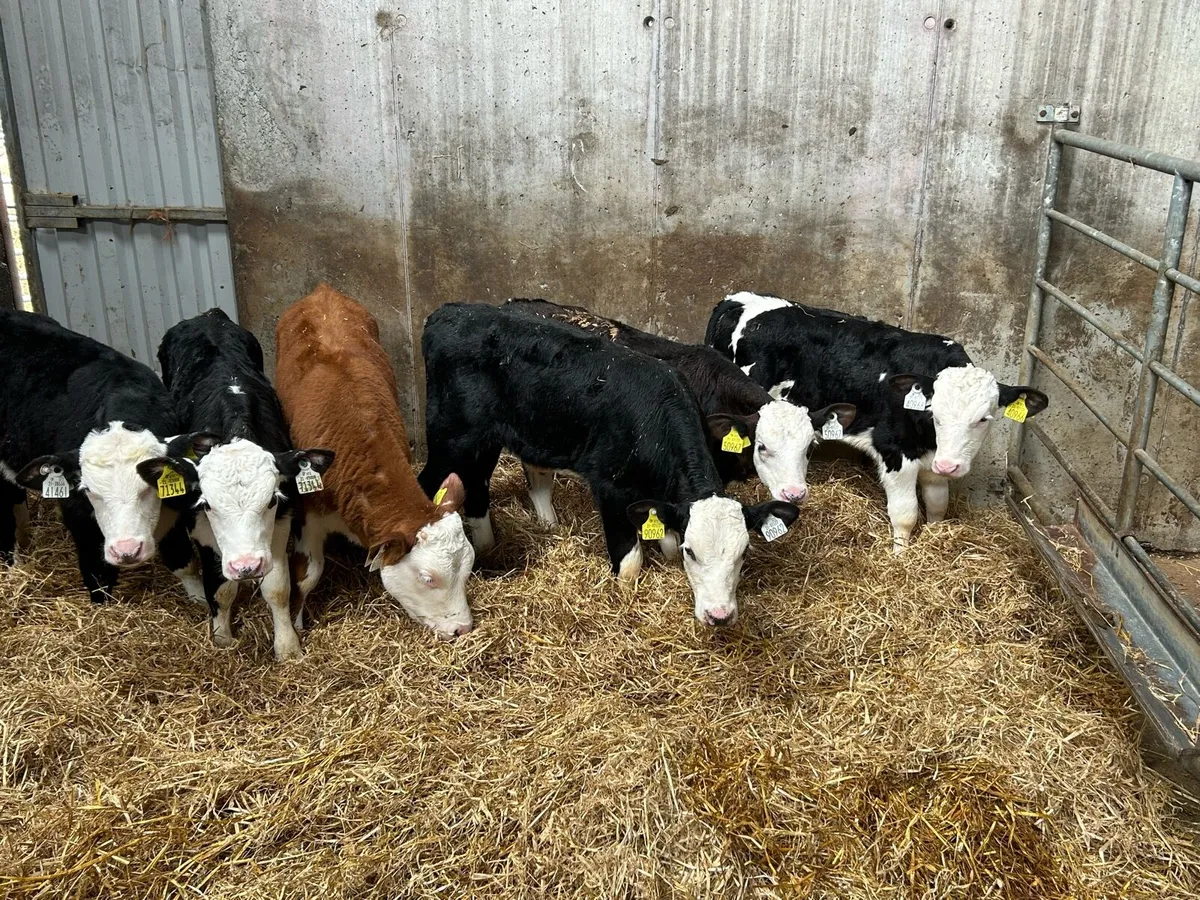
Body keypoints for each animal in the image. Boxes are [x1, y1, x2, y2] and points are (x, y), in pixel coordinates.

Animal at [0, 309, 197, 602]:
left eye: (148, 487)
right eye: (90, 492)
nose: (127, 551)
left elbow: (184, 562)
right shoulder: (78, 515)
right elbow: (98, 577)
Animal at [143, 309, 334, 661]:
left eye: (271, 500)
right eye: (207, 504)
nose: (247, 565)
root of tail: (208, 316)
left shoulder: (281, 523)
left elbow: (277, 587)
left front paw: (287, 646)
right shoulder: (201, 529)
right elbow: (222, 588)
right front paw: (222, 636)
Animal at [274, 284, 475, 640]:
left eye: (468, 568)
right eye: (428, 578)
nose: (462, 628)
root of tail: (322, 291)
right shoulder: (308, 511)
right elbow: (308, 573)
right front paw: (296, 626)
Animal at [418, 302, 800, 627]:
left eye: (744, 551)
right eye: (692, 552)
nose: (719, 615)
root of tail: (450, 311)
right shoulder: (611, 487)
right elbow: (631, 563)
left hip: (490, 438)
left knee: (479, 484)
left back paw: (490, 547)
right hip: (451, 437)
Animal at [706, 291, 1049, 550]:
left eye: (983, 419)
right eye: (934, 414)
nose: (950, 466)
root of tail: (739, 299)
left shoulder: (932, 459)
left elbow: (937, 503)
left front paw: (935, 538)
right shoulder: (894, 451)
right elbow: (906, 513)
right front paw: (900, 557)